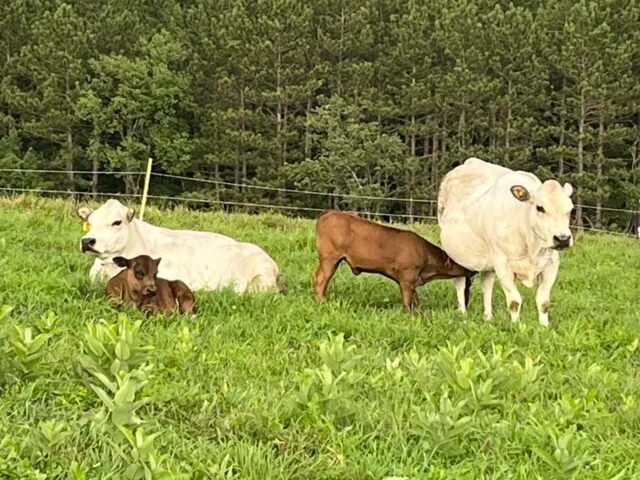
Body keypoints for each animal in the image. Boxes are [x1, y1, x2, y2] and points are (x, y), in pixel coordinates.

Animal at [312, 209, 476, 311]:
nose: (474, 270)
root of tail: (330, 212)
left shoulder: (412, 281)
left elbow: (415, 300)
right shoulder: (407, 277)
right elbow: (408, 301)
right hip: (329, 257)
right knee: (320, 279)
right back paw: (321, 302)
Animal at [437, 157, 574, 327]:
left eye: (570, 209)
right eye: (540, 208)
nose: (563, 239)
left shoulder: (551, 263)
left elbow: (543, 302)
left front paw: (544, 326)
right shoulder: (502, 263)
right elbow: (514, 301)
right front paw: (516, 326)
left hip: (488, 261)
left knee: (486, 285)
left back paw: (488, 316)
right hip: (456, 255)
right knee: (460, 282)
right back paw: (462, 313)